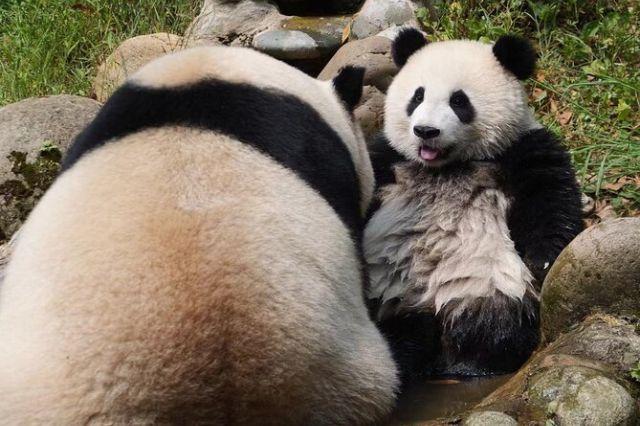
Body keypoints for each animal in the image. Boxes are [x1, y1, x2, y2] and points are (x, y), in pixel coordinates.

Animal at [364, 28, 584, 382]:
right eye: (417, 97)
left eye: (459, 101)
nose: (425, 131)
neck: (445, 167)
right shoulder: (388, 158)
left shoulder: (519, 149)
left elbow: (549, 196)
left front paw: (543, 261)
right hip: (388, 291)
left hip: (484, 283)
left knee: (492, 329)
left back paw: (470, 364)